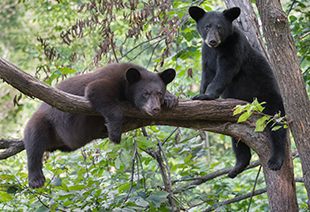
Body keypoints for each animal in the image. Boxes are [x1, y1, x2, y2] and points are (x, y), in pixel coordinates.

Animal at [23, 63, 179, 189]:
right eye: (145, 93)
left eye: (159, 93)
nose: (155, 109)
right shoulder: (109, 78)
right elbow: (96, 90)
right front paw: (115, 133)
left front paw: (170, 98)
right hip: (43, 120)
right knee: (34, 143)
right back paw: (36, 179)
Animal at [189, 6, 288, 177]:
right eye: (207, 26)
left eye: (219, 27)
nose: (212, 41)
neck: (219, 47)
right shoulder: (206, 53)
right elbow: (207, 74)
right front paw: (201, 93)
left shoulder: (234, 46)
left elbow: (226, 71)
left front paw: (206, 95)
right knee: (237, 137)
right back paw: (238, 166)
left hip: (269, 97)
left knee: (276, 126)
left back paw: (276, 160)